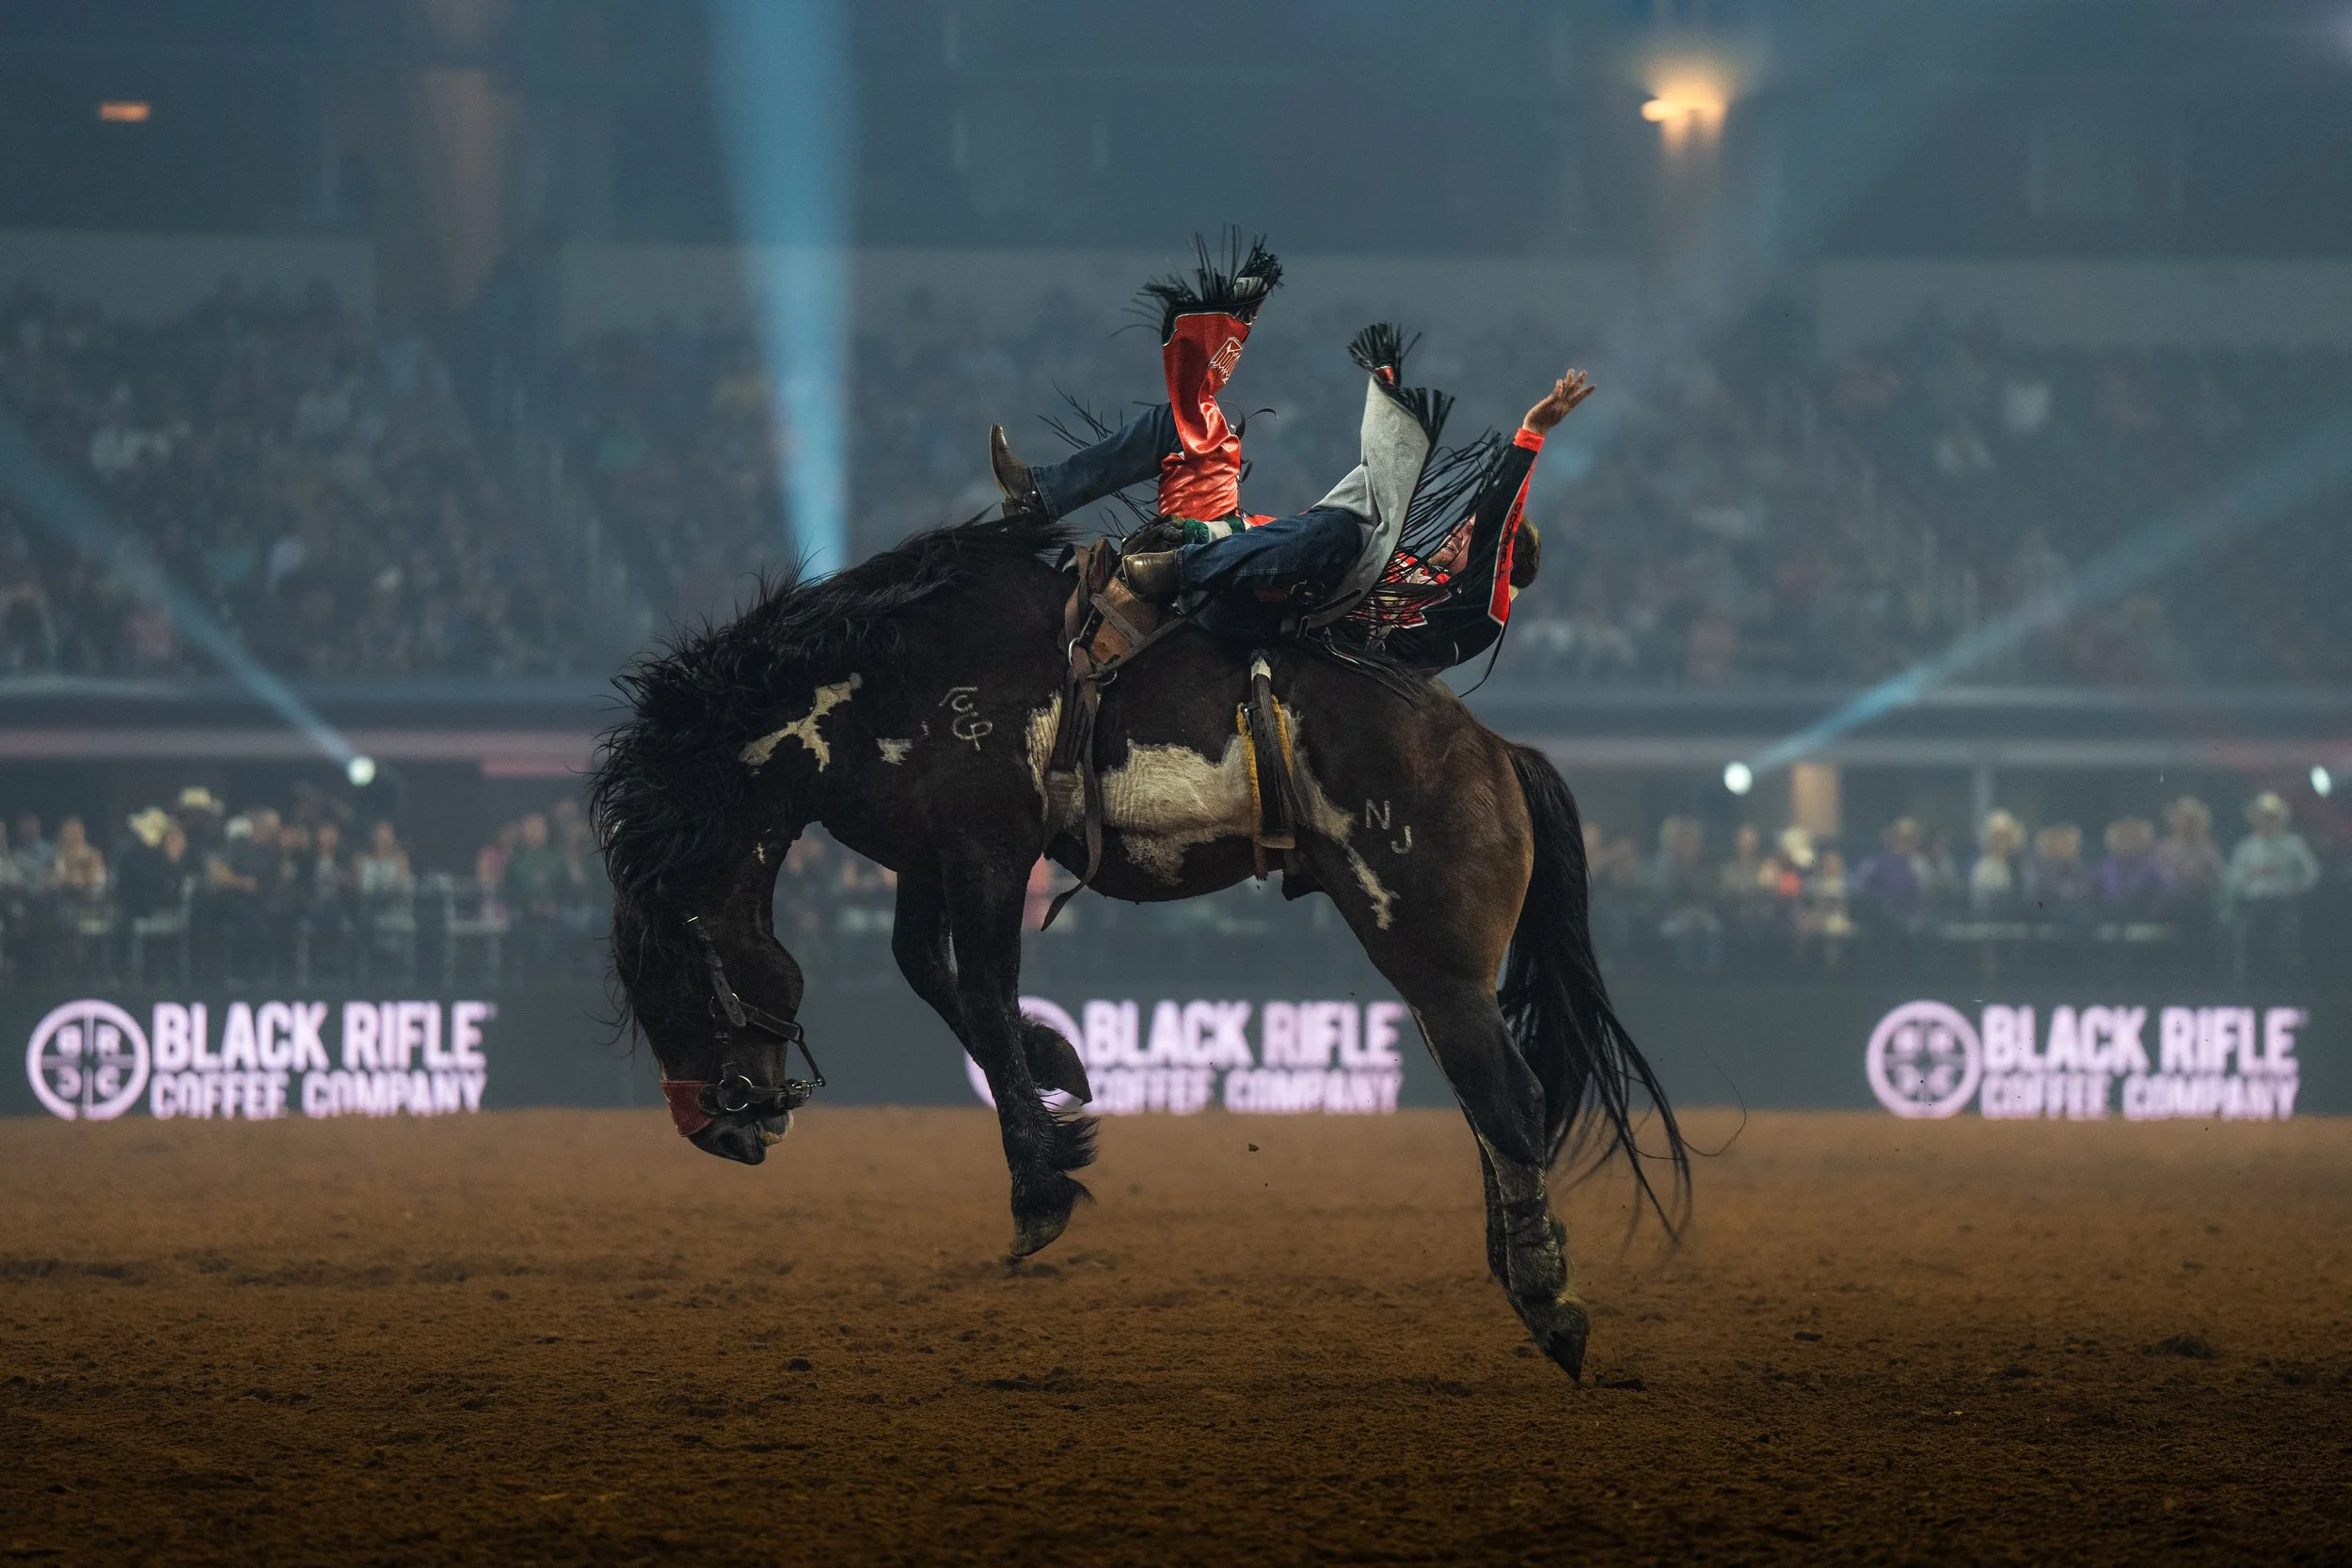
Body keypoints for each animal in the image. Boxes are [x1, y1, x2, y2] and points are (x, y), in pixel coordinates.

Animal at [589, 509, 1686, 1376]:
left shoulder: (991, 849)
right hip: (1432, 971)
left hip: (1435, 954)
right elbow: (931, 974)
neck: (887, 679)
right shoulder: (931, 858)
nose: (715, 1129)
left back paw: (1548, 1299)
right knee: (1486, 1106)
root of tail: (1495, 751)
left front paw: (1040, 1185)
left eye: (675, 978)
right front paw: (1061, 1065)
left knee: (1509, 1098)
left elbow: (980, 992)